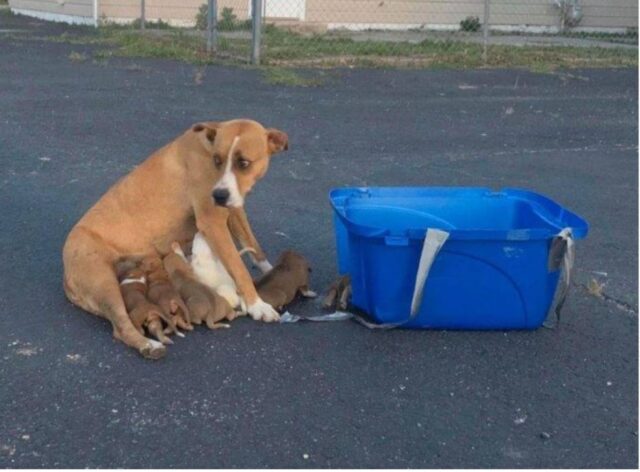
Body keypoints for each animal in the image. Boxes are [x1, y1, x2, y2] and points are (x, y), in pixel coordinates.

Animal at [62, 120, 288, 360]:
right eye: (217, 160)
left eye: (243, 163)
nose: (218, 196)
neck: (207, 145)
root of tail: (66, 274)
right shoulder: (213, 222)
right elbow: (239, 268)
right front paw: (257, 306)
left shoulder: (234, 210)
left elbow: (254, 247)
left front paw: (273, 273)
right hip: (105, 284)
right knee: (121, 325)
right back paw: (149, 345)